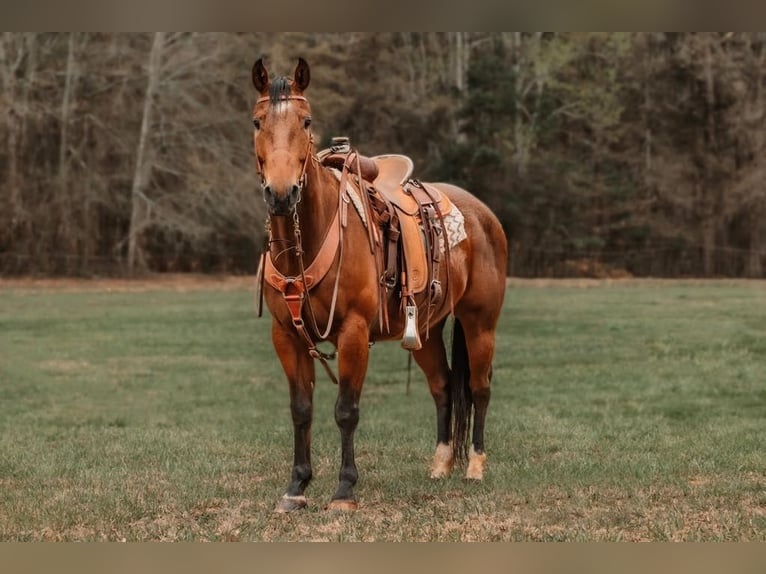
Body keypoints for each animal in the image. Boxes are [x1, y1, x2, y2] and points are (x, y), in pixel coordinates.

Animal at [249, 58, 508, 516]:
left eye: (306, 120)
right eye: (257, 121)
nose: (281, 193)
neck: (309, 238)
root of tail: (484, 215)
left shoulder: (353, 332)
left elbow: (346, 410)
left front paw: (344, 491)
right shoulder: (286, 336)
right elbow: (301, 410)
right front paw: (296, 487)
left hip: (480, 324)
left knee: (479, 389)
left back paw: (475, 467)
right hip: (424, 333)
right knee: (443, 387)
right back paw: (441, 465)